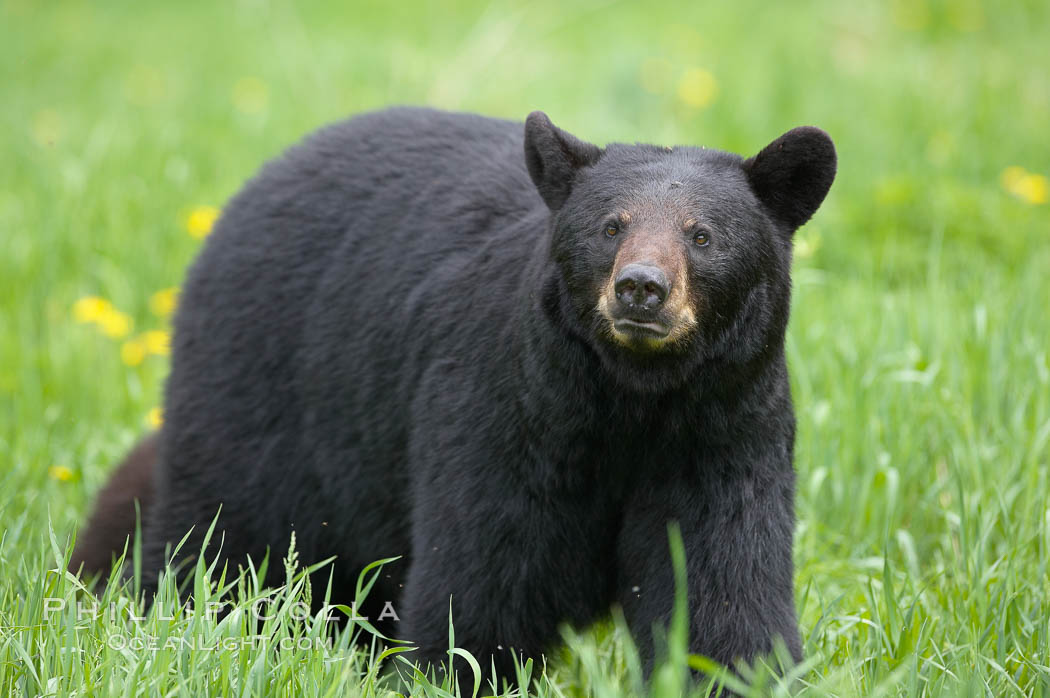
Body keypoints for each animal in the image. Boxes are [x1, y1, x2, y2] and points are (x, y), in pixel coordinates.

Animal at [69, 110, 831, 692]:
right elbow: (482, 576)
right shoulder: (503, 412)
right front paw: (452, 672)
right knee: (216, 535)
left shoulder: (724, 431)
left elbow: (721, 588)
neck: (631, 403)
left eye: (702, 235)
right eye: (611, 226)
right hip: (253, 397)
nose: (641, 288)